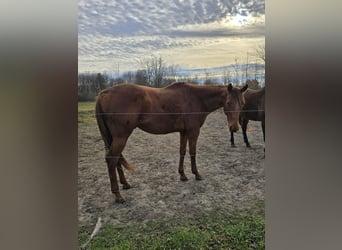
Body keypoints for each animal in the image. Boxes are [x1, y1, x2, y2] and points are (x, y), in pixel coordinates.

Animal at [95, 82, 247, 203]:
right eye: (228, 103)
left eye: (242, 103)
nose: (234, 128)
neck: (197, 98)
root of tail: (103, 93)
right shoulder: (193, 131)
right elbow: (192, 152)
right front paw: (196, 174)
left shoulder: (183, 132)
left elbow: (182, 152)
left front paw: (183, 175)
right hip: (121, 137)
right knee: (112, 159)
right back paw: (118, 195)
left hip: (115, 138)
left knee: (116, 159)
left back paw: (125, 184)